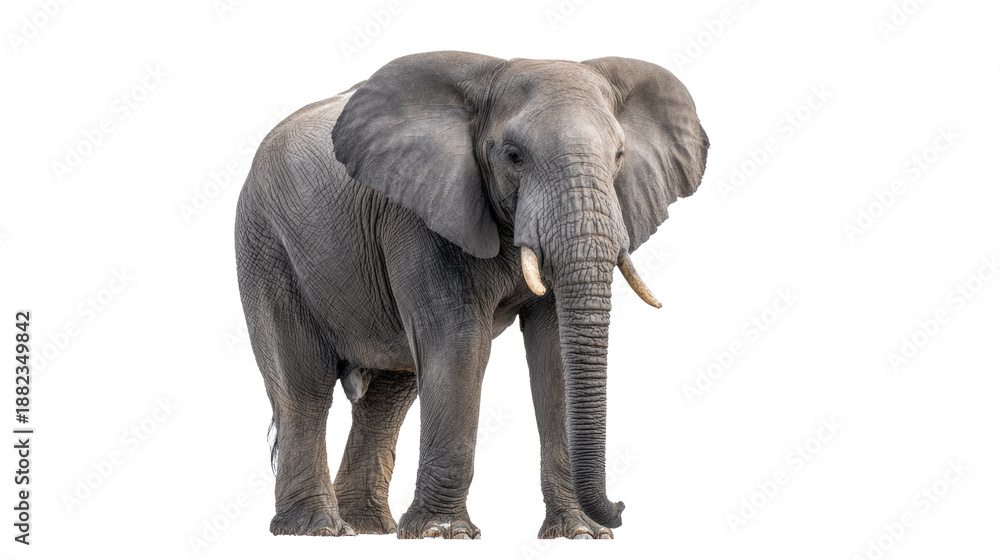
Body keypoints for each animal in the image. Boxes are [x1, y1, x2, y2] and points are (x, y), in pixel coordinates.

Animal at [235, 51, 708, 540]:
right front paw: (443, 534)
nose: (621, 506)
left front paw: (581, 534)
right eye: (514, 156)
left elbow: (553, 349)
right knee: (303, 385)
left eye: (618, 156)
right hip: (265, 243)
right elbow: (459, 343)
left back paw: (367, 527)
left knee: (388, 395)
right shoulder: (418, 215)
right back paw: (317, 530)